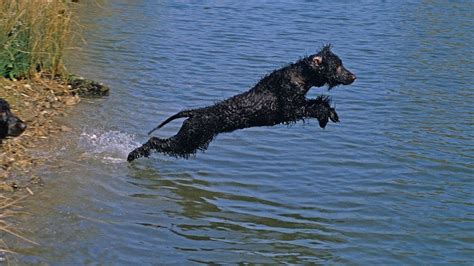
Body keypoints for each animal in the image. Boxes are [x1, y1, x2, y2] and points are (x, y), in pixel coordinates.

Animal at [127, 45, 356, 162]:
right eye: (337, 67)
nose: (354, 77)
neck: (300, 74)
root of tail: (196, 113)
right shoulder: (291, 109)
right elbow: (316, 105)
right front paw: (326, 116)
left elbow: (320, 102)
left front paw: (331, 115)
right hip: (188, 140)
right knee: (155, 141)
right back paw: (133, 154)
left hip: (192, 140)